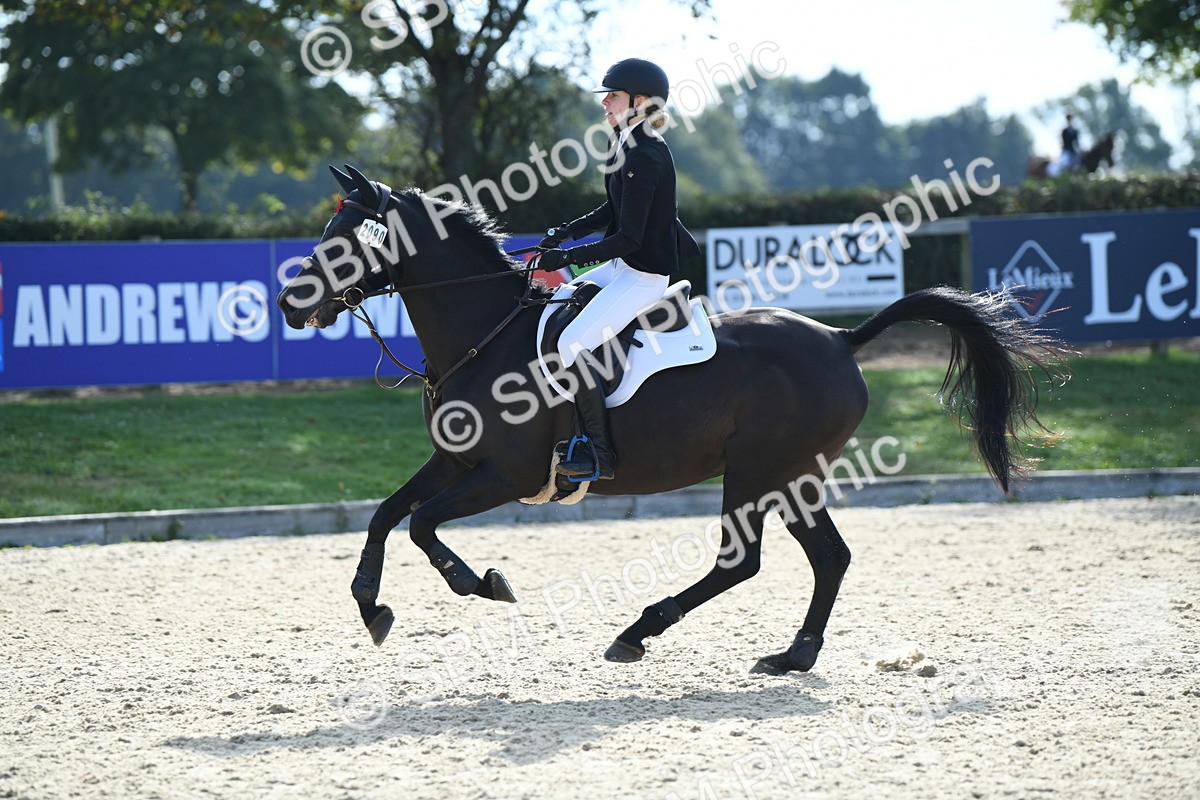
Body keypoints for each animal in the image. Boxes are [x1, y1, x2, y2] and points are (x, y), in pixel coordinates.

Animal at [277, 165, 1066, 675]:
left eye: (347, 238)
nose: (288, 302)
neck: (485, 334)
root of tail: (840, 339)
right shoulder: (456, 461)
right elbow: (387, 513)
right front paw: (372, 609)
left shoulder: (507, 474)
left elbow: (419, 523)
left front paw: (485, 584)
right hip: (794, 477)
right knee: (829, 558)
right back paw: (792, 656)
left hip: (758, 470)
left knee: (743, 560)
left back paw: (638, 632)